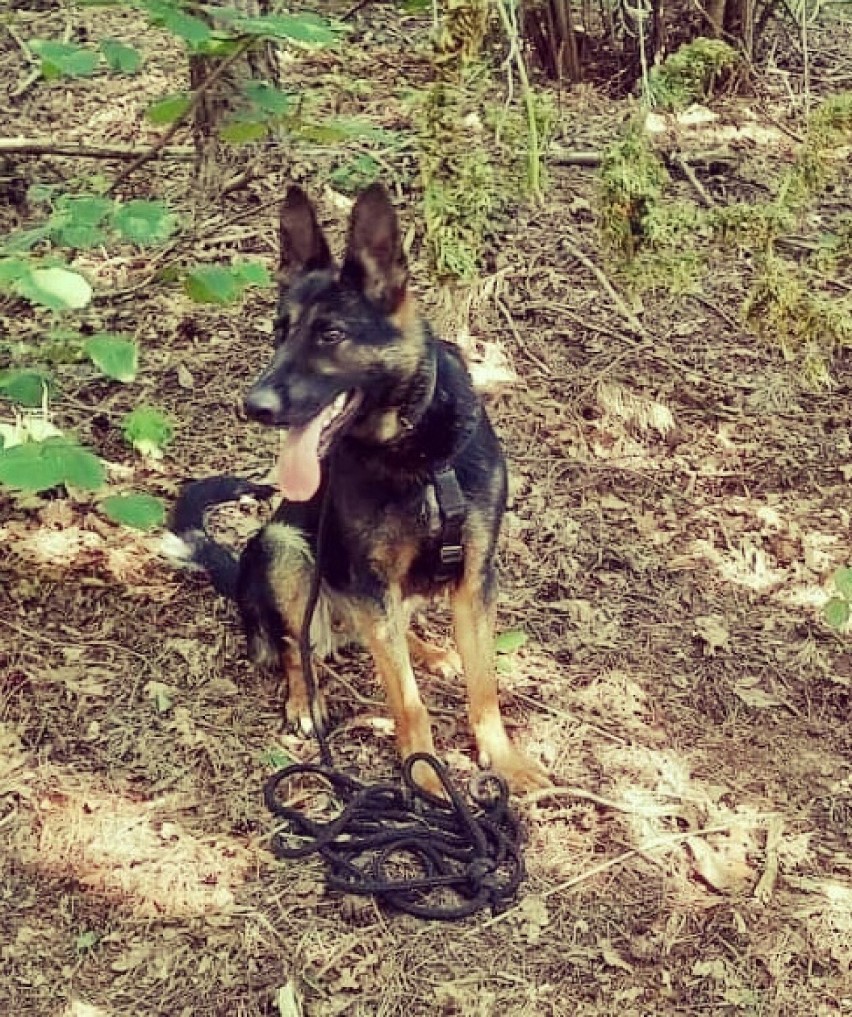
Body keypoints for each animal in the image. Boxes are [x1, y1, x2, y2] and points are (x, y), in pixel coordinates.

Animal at [169, 187, 549, 797]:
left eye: (330, 334)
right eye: (279, 331)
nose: (253, 406)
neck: (418, 450)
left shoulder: (474, 580)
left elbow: (483, 684)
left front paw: (503, 758)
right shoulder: (371, 583)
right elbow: (407, 699)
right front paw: (427, 772)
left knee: (390, 635)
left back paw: (431, 651)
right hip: (285, 551)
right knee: (295, 648)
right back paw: (305, 700)